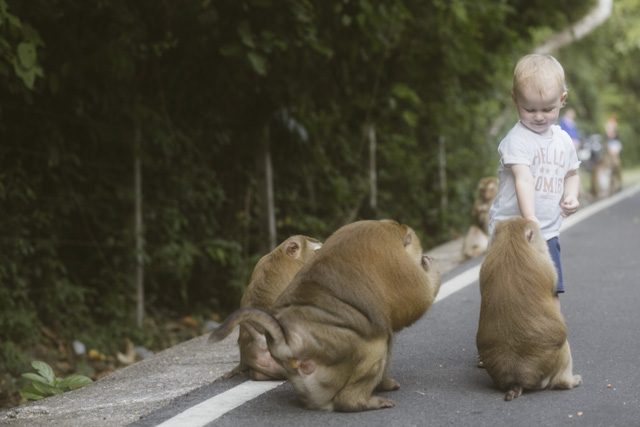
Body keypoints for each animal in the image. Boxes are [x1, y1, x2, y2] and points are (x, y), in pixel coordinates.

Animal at [476, 217, 581, 401]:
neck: (511, 242)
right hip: (554, 358)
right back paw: (567, 382)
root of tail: (518, 378)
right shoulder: (545, 259)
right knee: (563, 345)